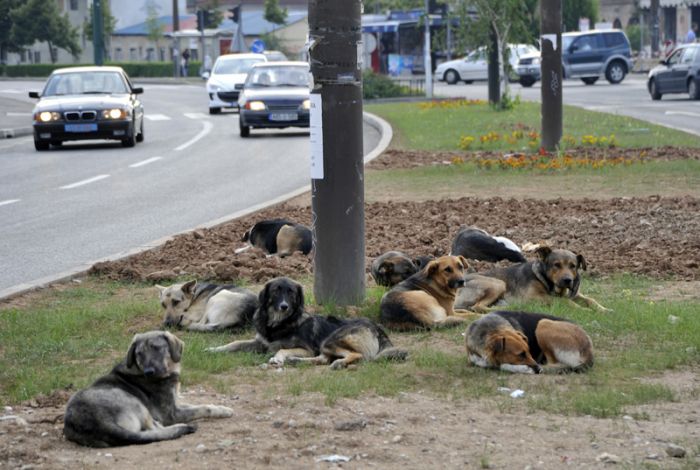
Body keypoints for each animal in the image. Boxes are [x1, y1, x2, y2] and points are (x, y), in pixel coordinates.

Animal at [63, 330, 232, 448]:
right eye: (139, 354)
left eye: (156, 348)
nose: (149, 372)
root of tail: (100, 423)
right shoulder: (171, 414)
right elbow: (202, 408)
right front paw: (224, 411)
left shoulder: (175, 403)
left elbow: (198, 404)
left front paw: (221, 407)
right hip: (136, 403)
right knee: (156, 430)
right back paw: (181, 427)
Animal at [454, 246, 612, 312]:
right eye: (557, 265)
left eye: (573, 266)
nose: (568, 280)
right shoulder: (535, 297)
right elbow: (565, 301)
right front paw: (584, 310)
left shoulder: (575, 294)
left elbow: (591, 300)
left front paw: (604, 309)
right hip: (497, 283)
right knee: (477, 307)